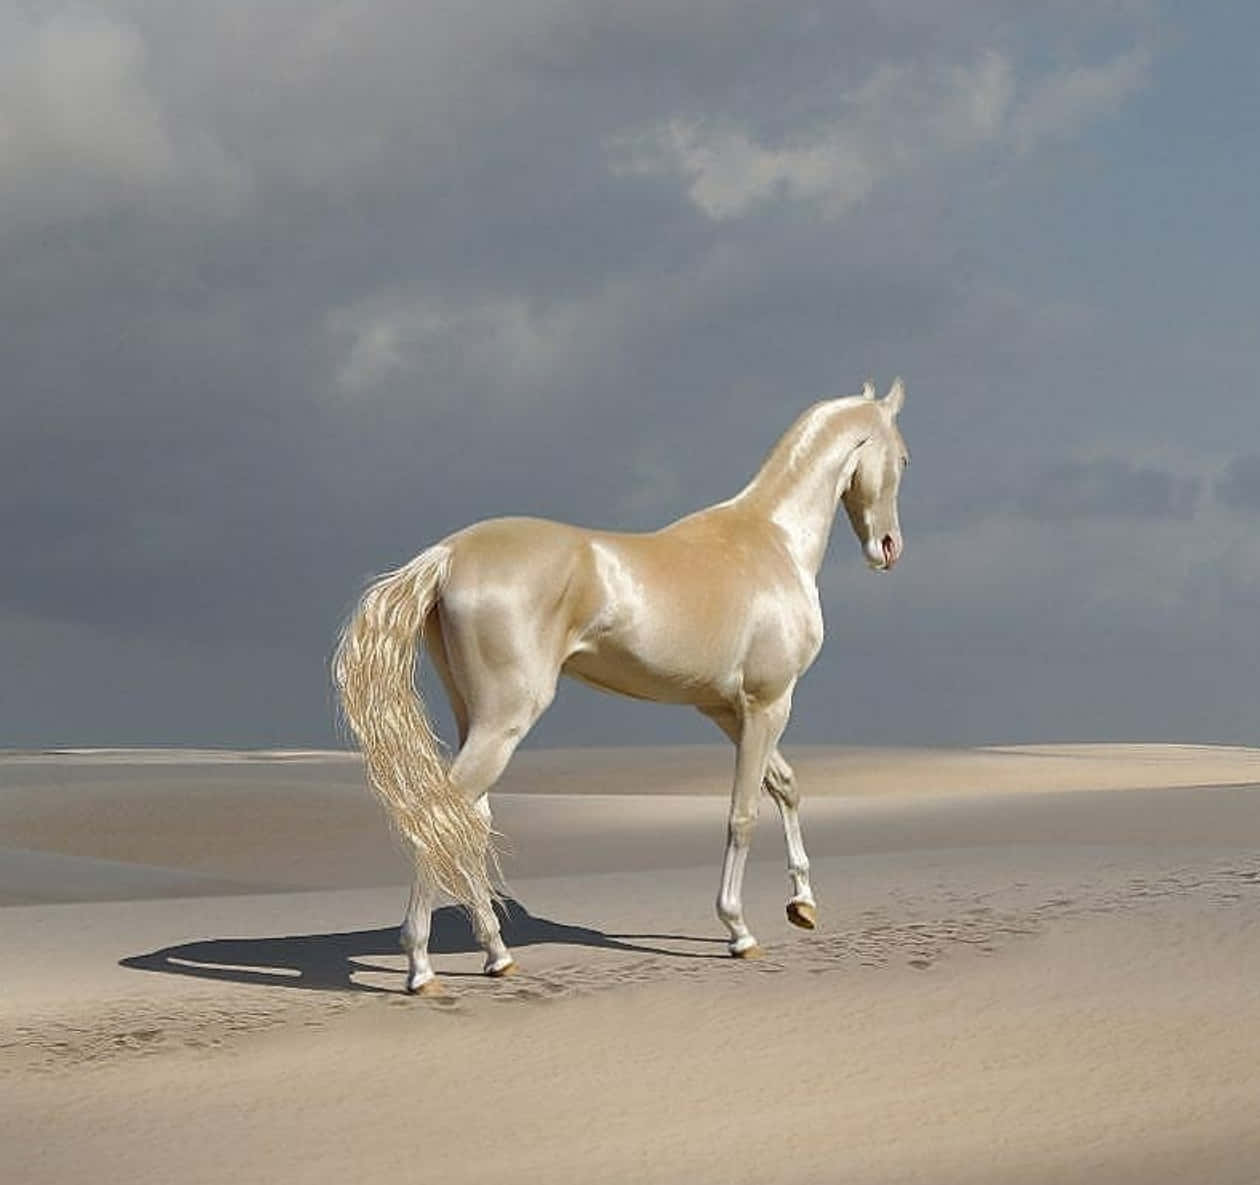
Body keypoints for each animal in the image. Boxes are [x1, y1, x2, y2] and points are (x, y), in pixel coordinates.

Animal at [333, 378, 909, 994]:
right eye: (903, 458)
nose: (888, 548)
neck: (771, 542)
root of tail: (448, 554)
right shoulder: (768, 703)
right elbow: (743, 812)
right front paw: (738, 930)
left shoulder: (727, 710)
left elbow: (786, 786)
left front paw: (802, 904)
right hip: (504, 722)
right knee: (440, 818)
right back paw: (420, 967)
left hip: (475, 719)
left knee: (467, 821)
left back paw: (496, 953)